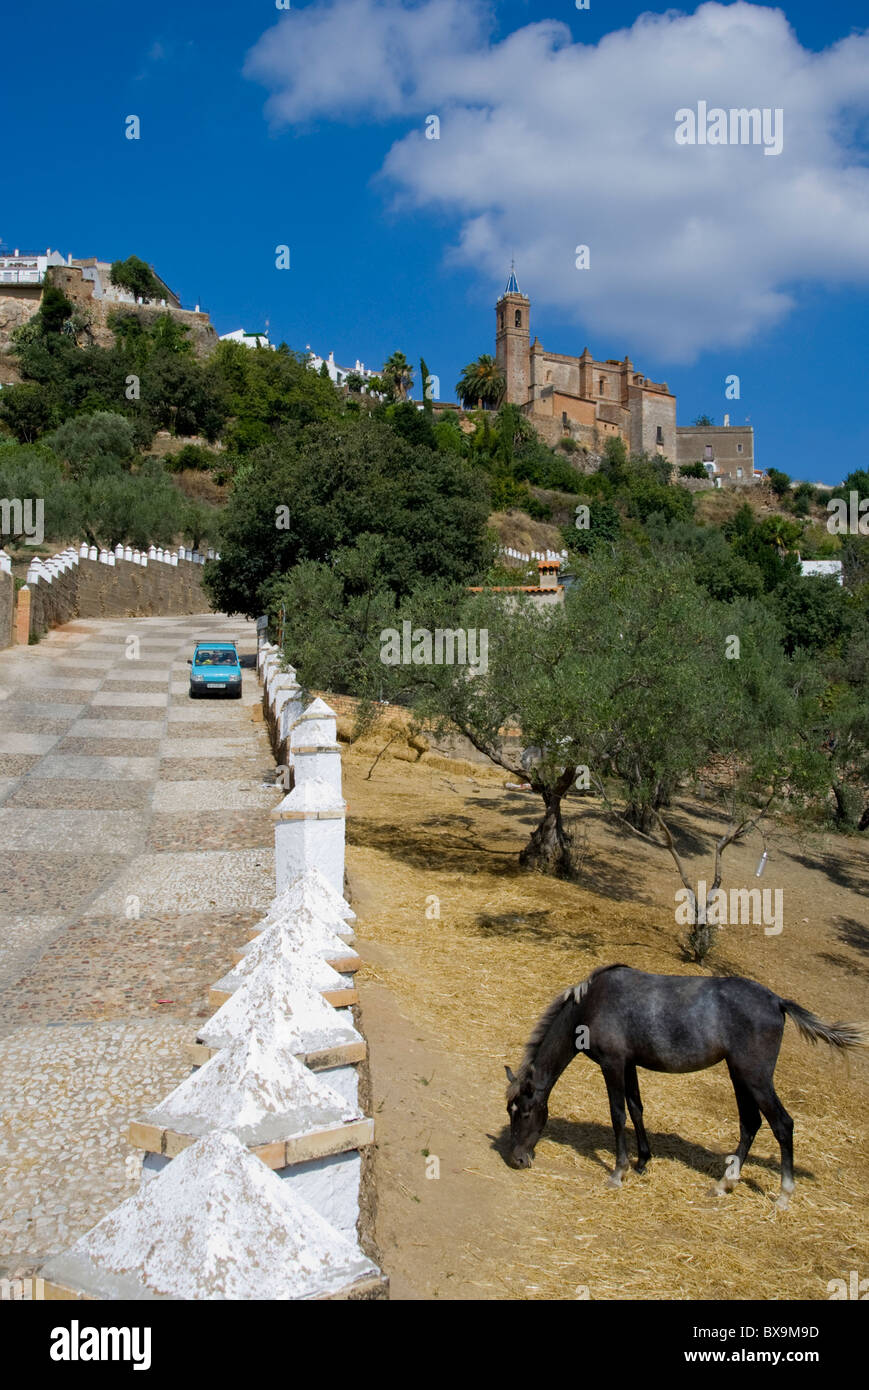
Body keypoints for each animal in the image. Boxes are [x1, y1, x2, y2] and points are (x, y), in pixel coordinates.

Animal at [506, 967, 862, 1206]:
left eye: (522, 1113)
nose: (517, 1160)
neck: (592, 1003)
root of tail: (777, 1001)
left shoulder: (613, 1065)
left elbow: (618, 1114)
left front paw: (619, 1172)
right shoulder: (630, 1064)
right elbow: (636, 1108)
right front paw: (642, 1162)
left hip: (755, 1077)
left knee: (782, 1124)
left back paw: (783, 1196)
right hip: (740, 1076)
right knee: (750, 1124)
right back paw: (724, 1184)